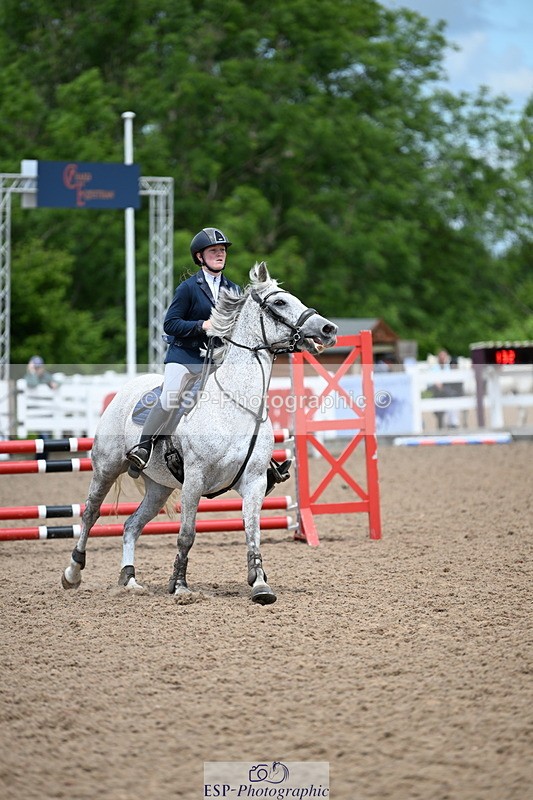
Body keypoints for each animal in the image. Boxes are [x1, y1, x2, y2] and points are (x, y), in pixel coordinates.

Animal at [61, 262, 337, 604]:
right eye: (280, 302)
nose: (328, 329)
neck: (236, 405)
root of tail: (126, 388)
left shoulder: (255, 482)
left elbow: (252, 532)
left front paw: (260, 584)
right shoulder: (194, 478)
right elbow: (187, 534)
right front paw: (180, 586)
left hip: (158, 487)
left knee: (131, 525)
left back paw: (130, 579)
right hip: (108, 467)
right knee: (90, 514)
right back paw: (73, 573)